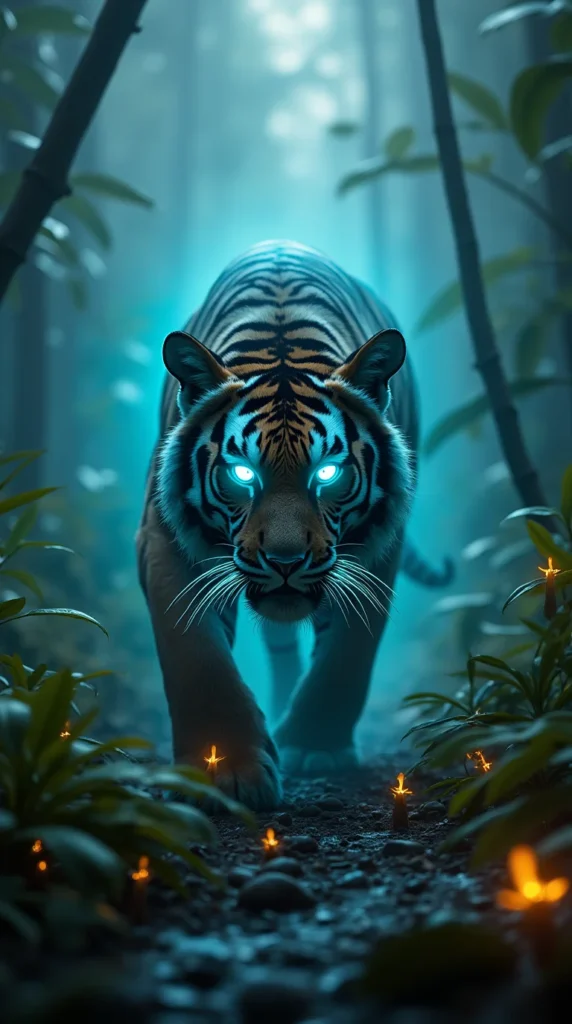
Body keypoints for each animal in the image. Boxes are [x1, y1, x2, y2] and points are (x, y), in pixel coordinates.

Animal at [136, 240, 452, 810]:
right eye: (242, 473)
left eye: (327, 473)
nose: (285, 561)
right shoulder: (164, 539)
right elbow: (196, 657)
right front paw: (226, 771)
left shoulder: (378, 551)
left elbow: (348, 654)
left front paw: (314, 746)